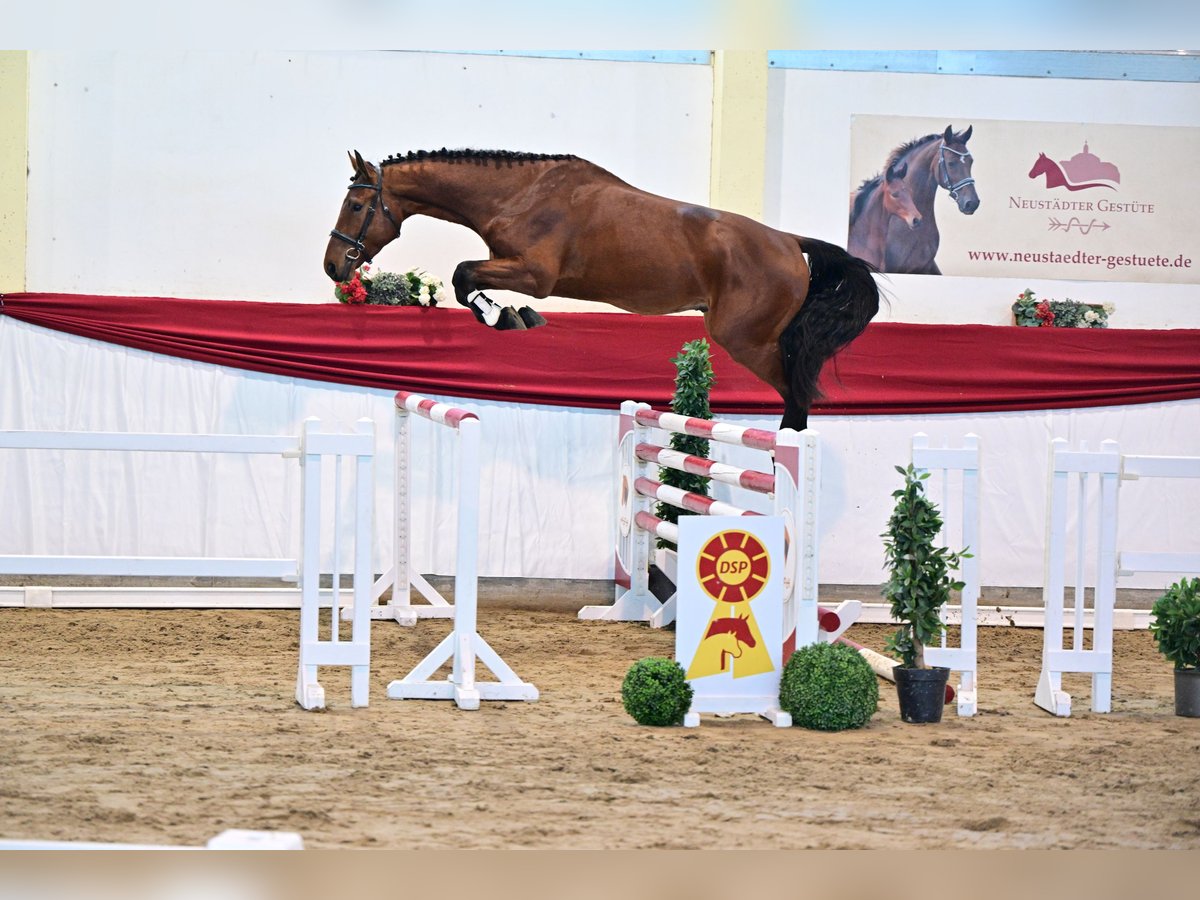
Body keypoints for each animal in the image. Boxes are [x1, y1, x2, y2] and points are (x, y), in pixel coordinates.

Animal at [324, 150, 878, 432]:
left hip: (748, 341)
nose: (332, 266)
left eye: (356, 206)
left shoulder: (534, 275)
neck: (518, 195)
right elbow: (466, 281)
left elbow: (463, 275)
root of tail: (789, 242)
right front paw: (511, 317)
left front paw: (508, 317)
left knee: (797, 400)